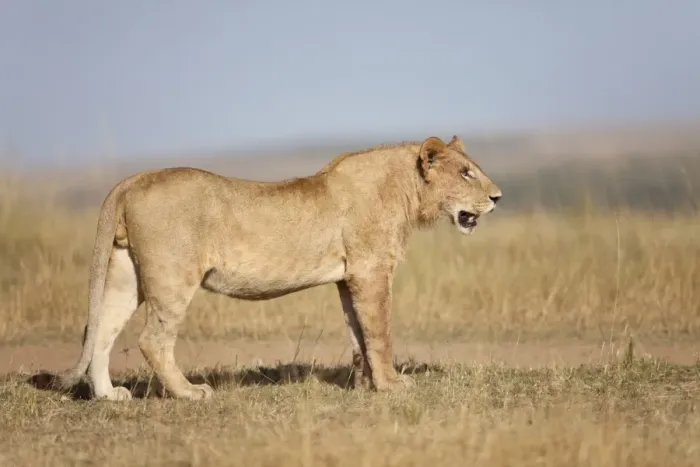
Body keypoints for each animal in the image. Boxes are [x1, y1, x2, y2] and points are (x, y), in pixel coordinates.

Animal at [54, 135, 502, 400]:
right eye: (466, 173)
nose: (498, 197)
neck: (407, 192)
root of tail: (134, 179)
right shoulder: (372, 270)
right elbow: (379, 333)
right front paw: (392, 385)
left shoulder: (349, 278)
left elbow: (358, 333)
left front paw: (362, 386)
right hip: (172, 277)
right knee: (152, 340)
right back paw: (190, 393)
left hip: (126, 273)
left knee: (99, 329)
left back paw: (109, 396)